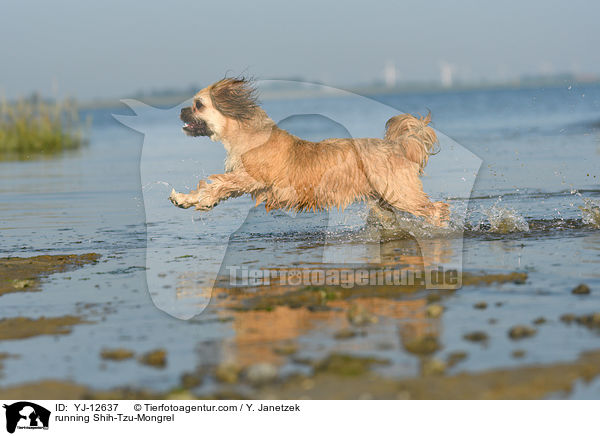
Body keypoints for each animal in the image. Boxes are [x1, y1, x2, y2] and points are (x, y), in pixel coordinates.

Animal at [171, 78, 448, 227]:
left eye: (198, 105)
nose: (180, 111)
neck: (248, 135)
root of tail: (398, 147)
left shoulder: (253, 178)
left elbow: (218, 183)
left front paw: (203, 199)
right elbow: (218, 187)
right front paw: (186, 199)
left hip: (401, 193)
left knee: (436, 208)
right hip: (383, 200)